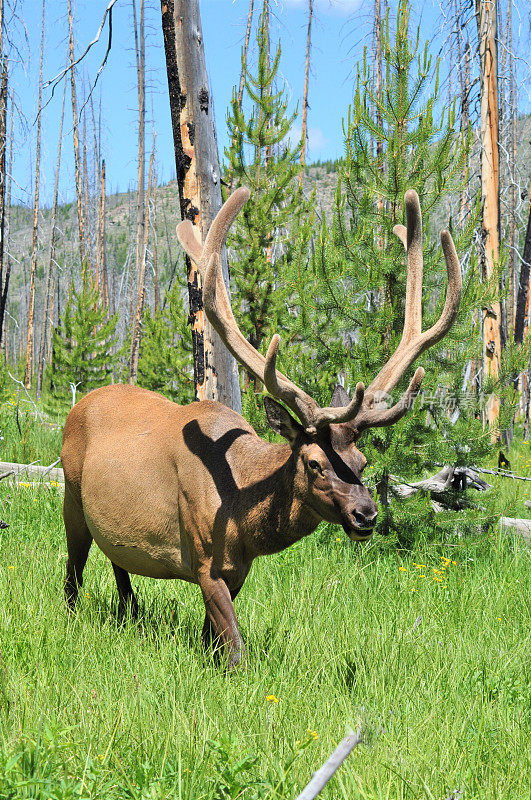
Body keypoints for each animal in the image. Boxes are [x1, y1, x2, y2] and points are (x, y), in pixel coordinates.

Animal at [61, 186, 462, 664]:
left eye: (362, 462)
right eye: (314, 463)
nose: (366, 514)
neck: (241, 517)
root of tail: (80, 405)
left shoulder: (238, 570)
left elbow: (212, 638)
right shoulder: (204, 559)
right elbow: (236, 651)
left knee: (119, 566)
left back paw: (131, 614)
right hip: (70, 496)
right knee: (72, 571)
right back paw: (71, 615)